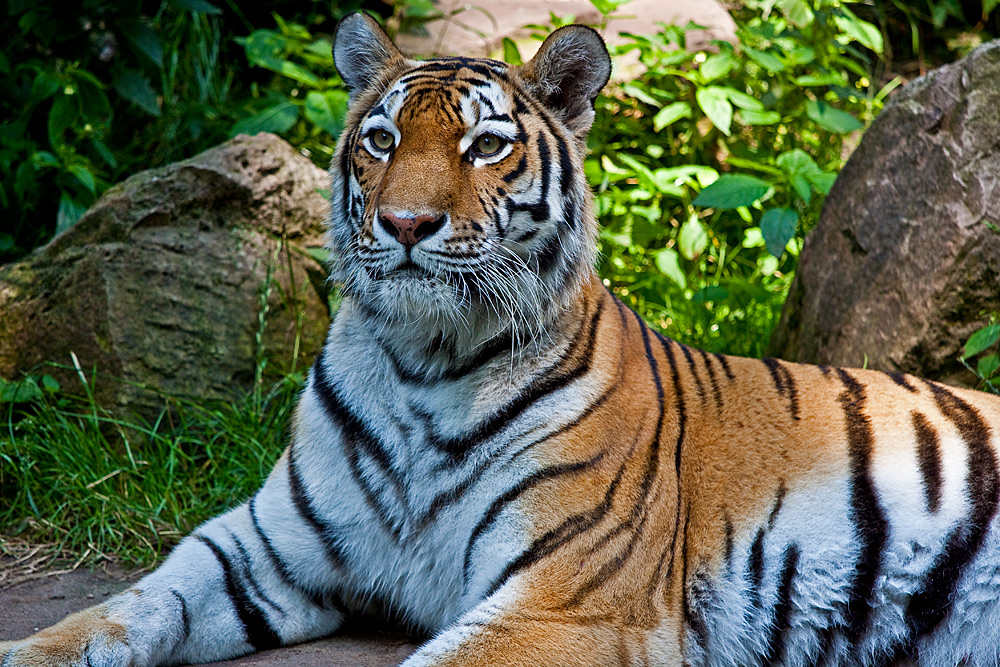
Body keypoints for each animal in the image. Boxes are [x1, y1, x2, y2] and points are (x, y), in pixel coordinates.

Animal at [5, 10, 1000, 667]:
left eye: (485, 146)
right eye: (380, 139)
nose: (406, 223)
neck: (420, 364)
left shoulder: (565, 600)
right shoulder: (261, 546)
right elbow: (124, 608)